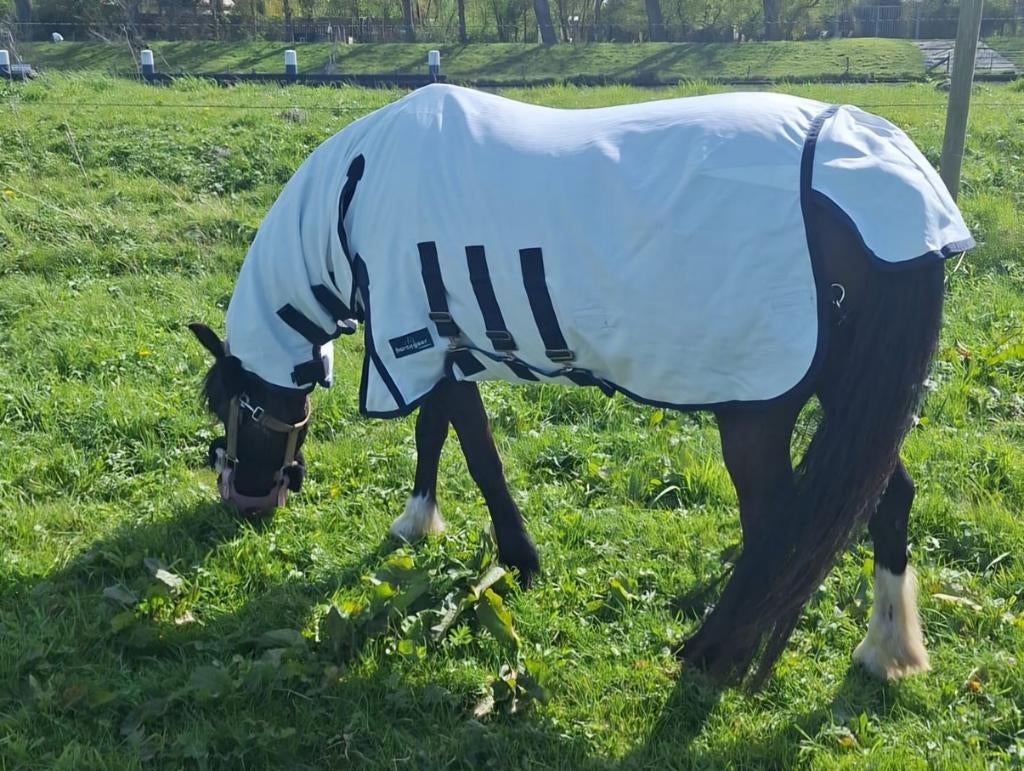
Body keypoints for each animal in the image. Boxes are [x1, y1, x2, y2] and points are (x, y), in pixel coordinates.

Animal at [187, 85, 973, 688]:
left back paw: (715, 652)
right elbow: (434, 434)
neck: (357, 191)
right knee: (882, 499)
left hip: (756, 411)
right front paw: (417, 521)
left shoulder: (426, 344)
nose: (241, 503)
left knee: (778, 521)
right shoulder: (446, 352)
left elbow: (475, 451)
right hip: (852, 398)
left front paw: (518, 559)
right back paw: (886, 648)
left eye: (230, 405)